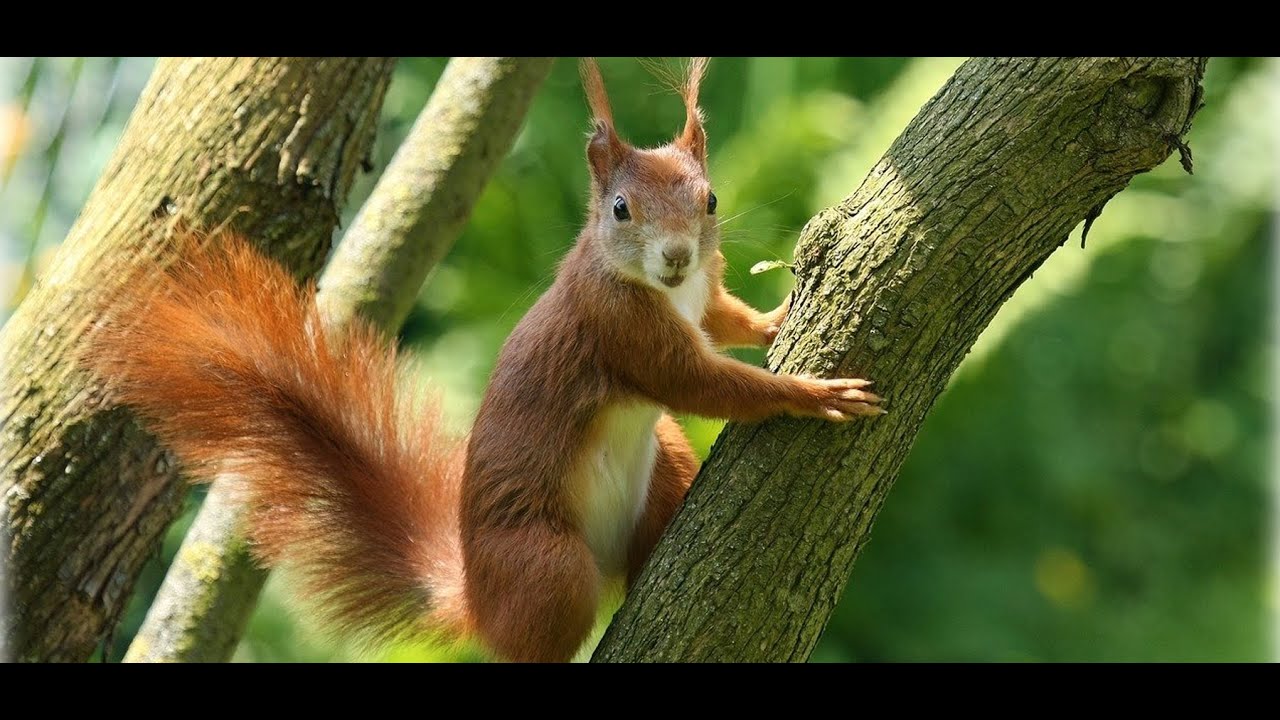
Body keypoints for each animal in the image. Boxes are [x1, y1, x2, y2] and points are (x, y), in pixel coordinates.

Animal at [86, 57, 883, 663]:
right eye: (620, 210)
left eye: (711, 199)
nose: (677, 255)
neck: (665, 290)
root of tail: (478, 598)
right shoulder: (618, 329)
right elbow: (703, 384)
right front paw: (812, 393)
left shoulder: (702, 298)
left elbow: (724, 321)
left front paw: (774, 316)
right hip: (545, 565)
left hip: (663, 462)